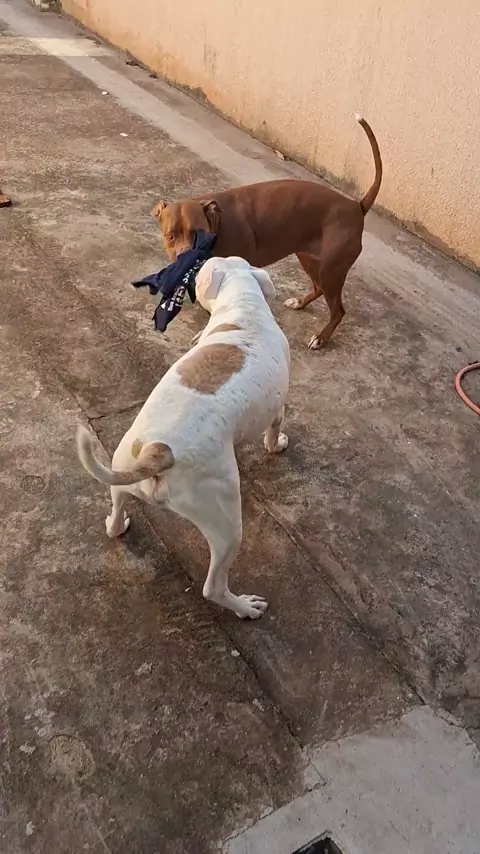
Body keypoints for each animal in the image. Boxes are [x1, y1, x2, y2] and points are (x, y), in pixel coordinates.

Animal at [77, 257, 290, 619]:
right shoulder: (277, 406)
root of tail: (158, 451)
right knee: (214, 586)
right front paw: (277, 445)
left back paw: (117, 524)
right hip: (225, 523)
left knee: (116, 510)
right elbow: (275, 428)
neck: (243, 303)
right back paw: (243, 606)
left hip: (121, 464)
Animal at [152, 115, 382, 350]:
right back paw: (300, 302)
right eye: (170, 236)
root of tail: (356, 206)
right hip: (309, 258)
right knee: (319, 288)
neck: (217, 224)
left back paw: (321, 337)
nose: (184, 258)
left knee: (338, 310)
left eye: (197, 233)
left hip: (331, 270)